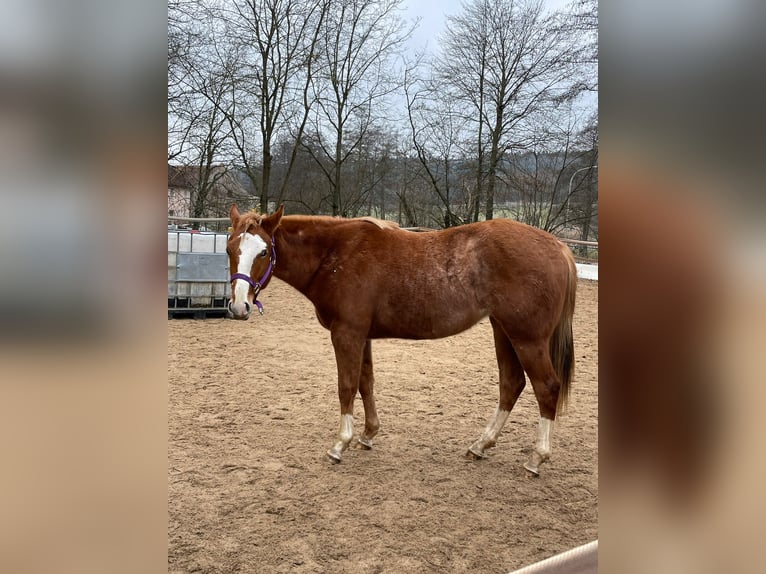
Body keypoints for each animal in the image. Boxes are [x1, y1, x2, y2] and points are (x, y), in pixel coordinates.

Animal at [226, 205, 576, 474]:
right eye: (230, 248)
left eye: (263, 251)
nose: (239, 306)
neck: (336, 255)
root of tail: (558, 247)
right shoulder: (361, 335)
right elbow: (365, 382)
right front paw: (368, 435)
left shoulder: (347, 333)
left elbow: (346, 386)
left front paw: (340, 444)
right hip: (502, 330)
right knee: (511, 384)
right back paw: (480, 445)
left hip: (527, 339)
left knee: (546, 387)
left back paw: (536, 459)